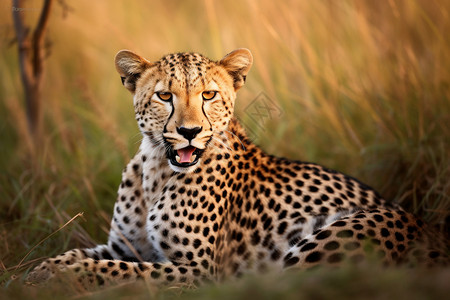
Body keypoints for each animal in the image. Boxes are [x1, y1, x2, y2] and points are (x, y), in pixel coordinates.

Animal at [27, 49, 446, 288]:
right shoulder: (123, 245)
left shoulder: (196, 271)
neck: (155, 169)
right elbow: (80, 253)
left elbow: (121, 271)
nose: (190, 132)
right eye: (165, 96)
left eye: (208, 95)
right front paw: (39, 269)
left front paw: (59, 277)